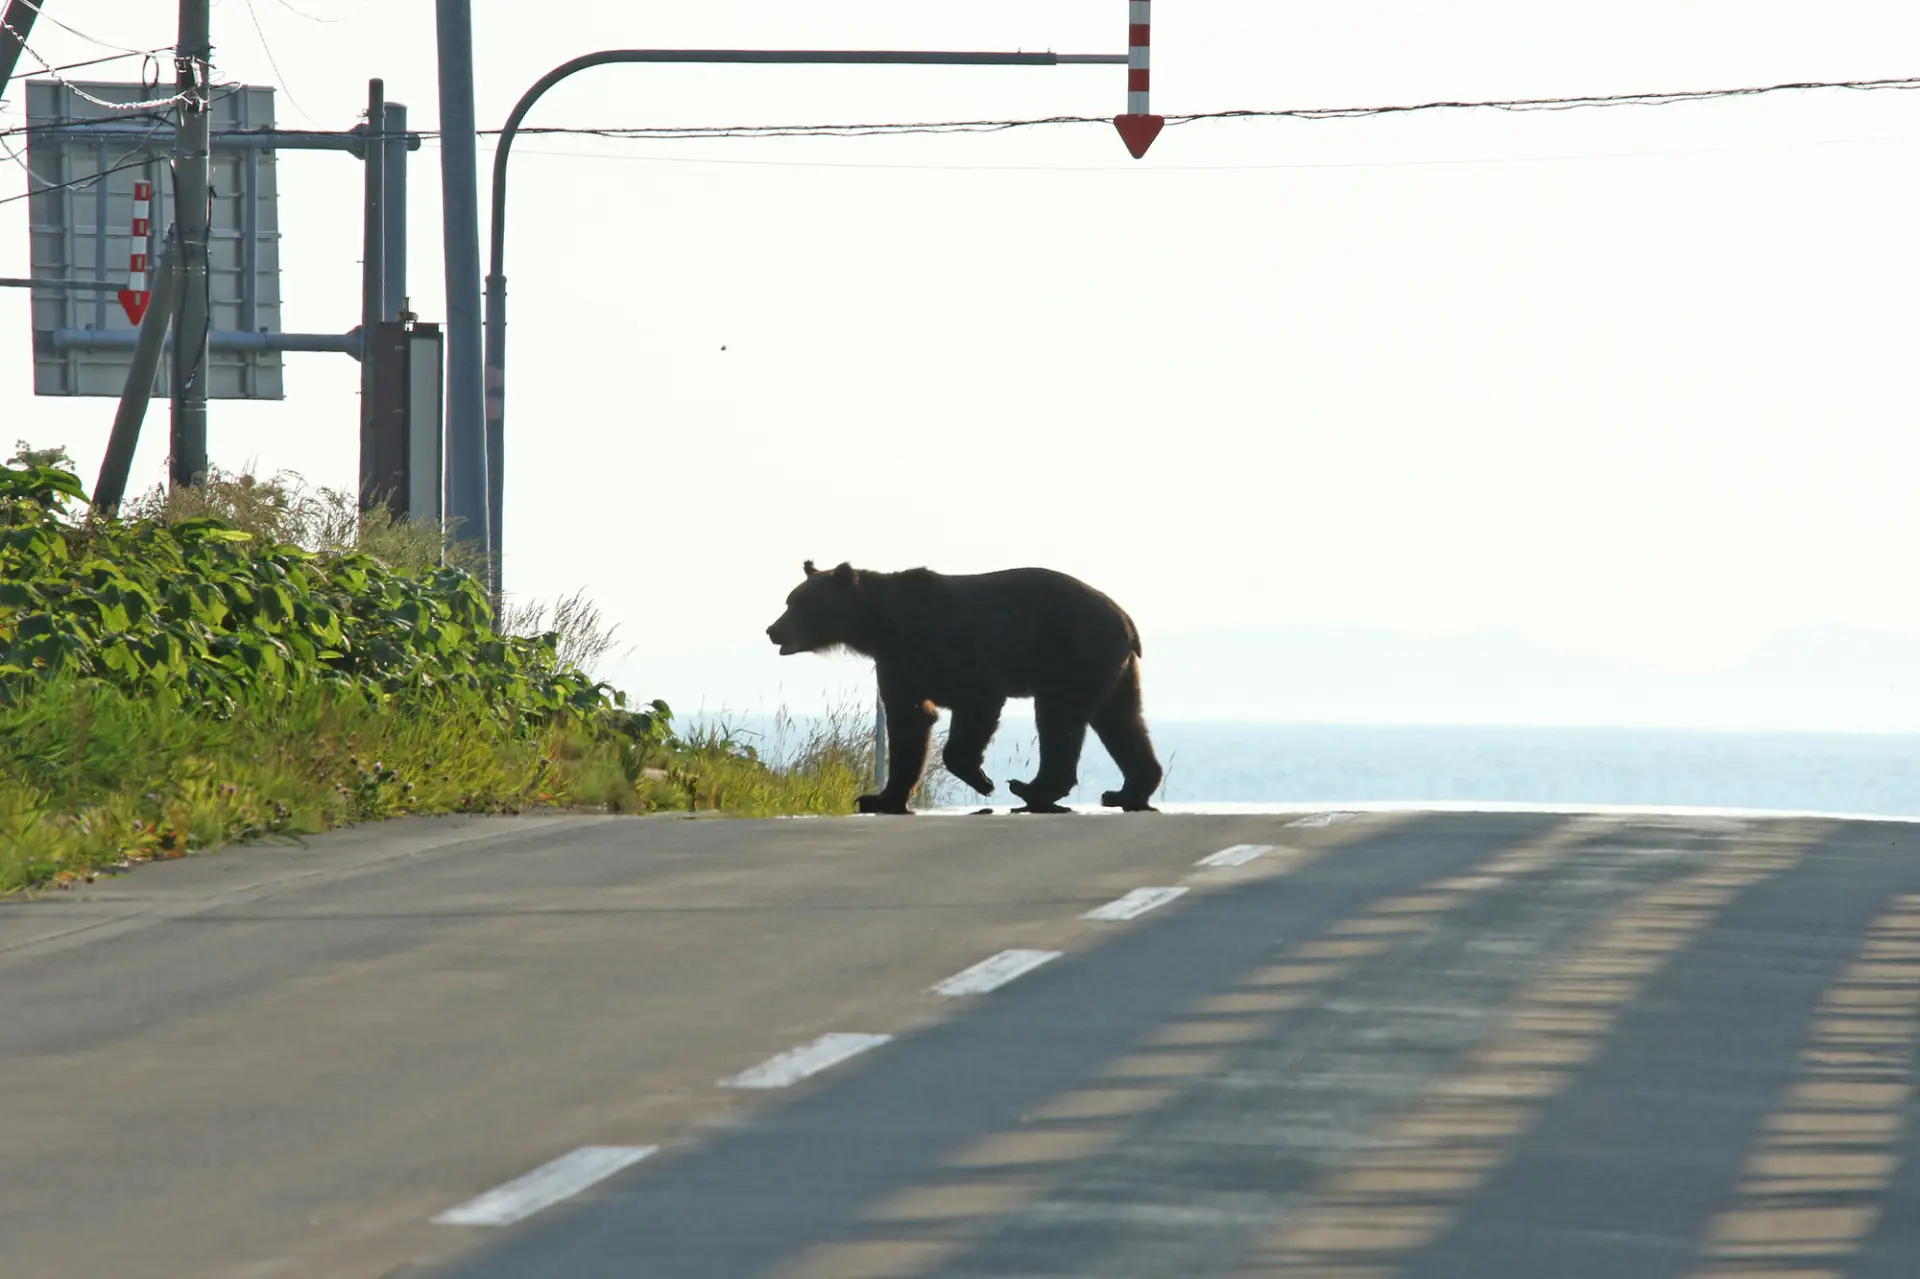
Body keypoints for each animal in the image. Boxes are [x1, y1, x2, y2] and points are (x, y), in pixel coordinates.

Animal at [765, 560, 1164, 815]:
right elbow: (909, 721)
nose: (772, 630)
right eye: (789, 600)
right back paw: (1126, 791)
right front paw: (881, 797)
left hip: (1073, 652)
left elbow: (974, 703)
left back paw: (1031, 789)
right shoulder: (897, 664)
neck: (884, 625)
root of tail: (1126, 621)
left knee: (1060, 717)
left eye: (799, 603)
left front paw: (981, 778)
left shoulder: (953, 647)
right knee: (1121, 721)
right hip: (1112, 671)